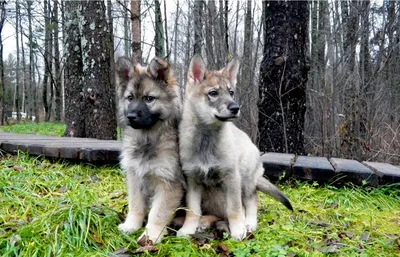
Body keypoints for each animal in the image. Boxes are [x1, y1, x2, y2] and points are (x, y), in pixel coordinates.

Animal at [115, 56, 184, 244]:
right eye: (130, 97)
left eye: (149, 98)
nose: (131, 116)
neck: (148, 139)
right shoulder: (134, 176)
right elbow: (136, 204)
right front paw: (131, 225)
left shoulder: (169, 183)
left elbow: (157, 213)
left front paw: (150, 235)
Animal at [177, 54, 292, 240]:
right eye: (213, 93)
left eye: (231, 92)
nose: (235, 108)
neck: (207, 138)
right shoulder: (193, 180)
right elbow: (192, 210)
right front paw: (188, 229)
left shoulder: (232, 178)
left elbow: (235, 208)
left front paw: (238, 229)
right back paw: (204, 222)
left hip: (245, 180)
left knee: (251, 201)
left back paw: (249, 223)